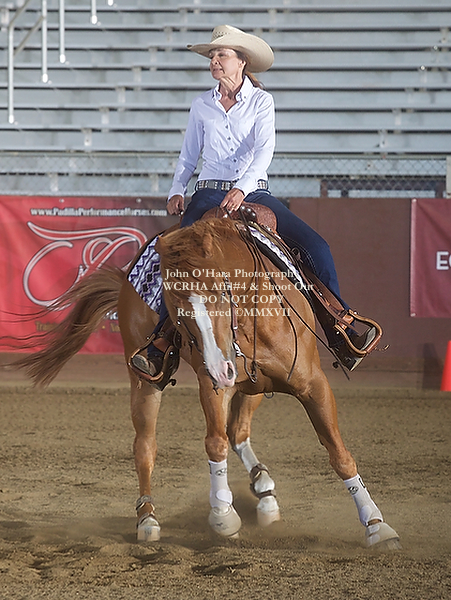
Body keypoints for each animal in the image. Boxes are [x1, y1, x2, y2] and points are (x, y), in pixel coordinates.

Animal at [12, 216, 400, 550]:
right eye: (175, 309)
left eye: (221, 293)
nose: (220, 368)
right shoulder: (213, 385)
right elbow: (215, 444)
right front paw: (223, 516)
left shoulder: (312, 384)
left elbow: (339, 454)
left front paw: (377, 526)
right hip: (145, 383)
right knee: (146, 446)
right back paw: (148, 520)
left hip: (252, 387)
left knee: (239, 431)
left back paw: (264, 490)